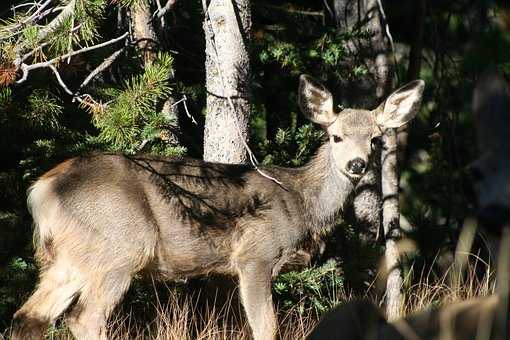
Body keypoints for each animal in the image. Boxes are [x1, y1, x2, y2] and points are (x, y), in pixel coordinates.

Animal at [11, 75, 424, 340]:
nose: (356, 164)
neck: (300, 200)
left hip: (70, 256)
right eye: (335, 136)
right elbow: (265, 327)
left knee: (28, 317)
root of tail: (42, 190)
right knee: (83, 319)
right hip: (120, 247)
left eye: (375, 139)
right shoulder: (255, 255)